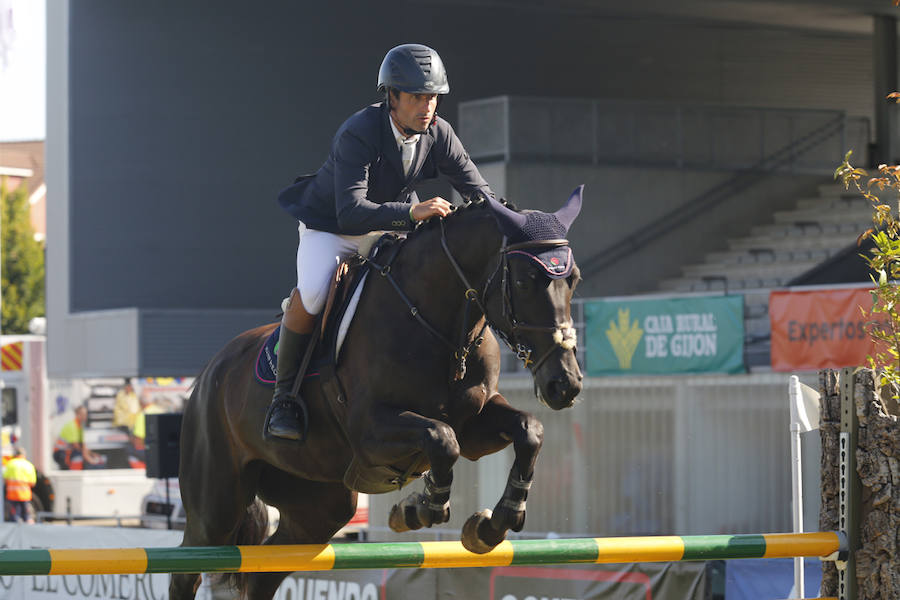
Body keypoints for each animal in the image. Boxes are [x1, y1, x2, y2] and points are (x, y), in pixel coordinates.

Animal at [172, 185, 588, 596]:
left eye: (574, 280)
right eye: (522, 281)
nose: (564, 384)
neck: (438, 323)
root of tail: (208, 373)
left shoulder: (475, 425)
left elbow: (529, 430)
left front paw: (493, 523)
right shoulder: (370, 432)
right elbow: (442, 438)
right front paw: (418, 508)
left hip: (318, 504)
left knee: (267, 569)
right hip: (216, 505)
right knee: (188, 566)